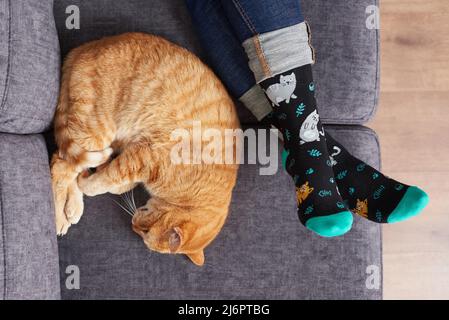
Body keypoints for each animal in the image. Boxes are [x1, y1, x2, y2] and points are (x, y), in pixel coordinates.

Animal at [50, 33, 240, 266]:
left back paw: (73, 206)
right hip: (98, 131)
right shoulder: (143, 156)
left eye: (144, 232)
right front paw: (90, 184)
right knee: (61, 165)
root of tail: (86, 47)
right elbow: (103, 181)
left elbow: (115, 183)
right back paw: (60, 216)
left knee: (70, 160)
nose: (133, 225)